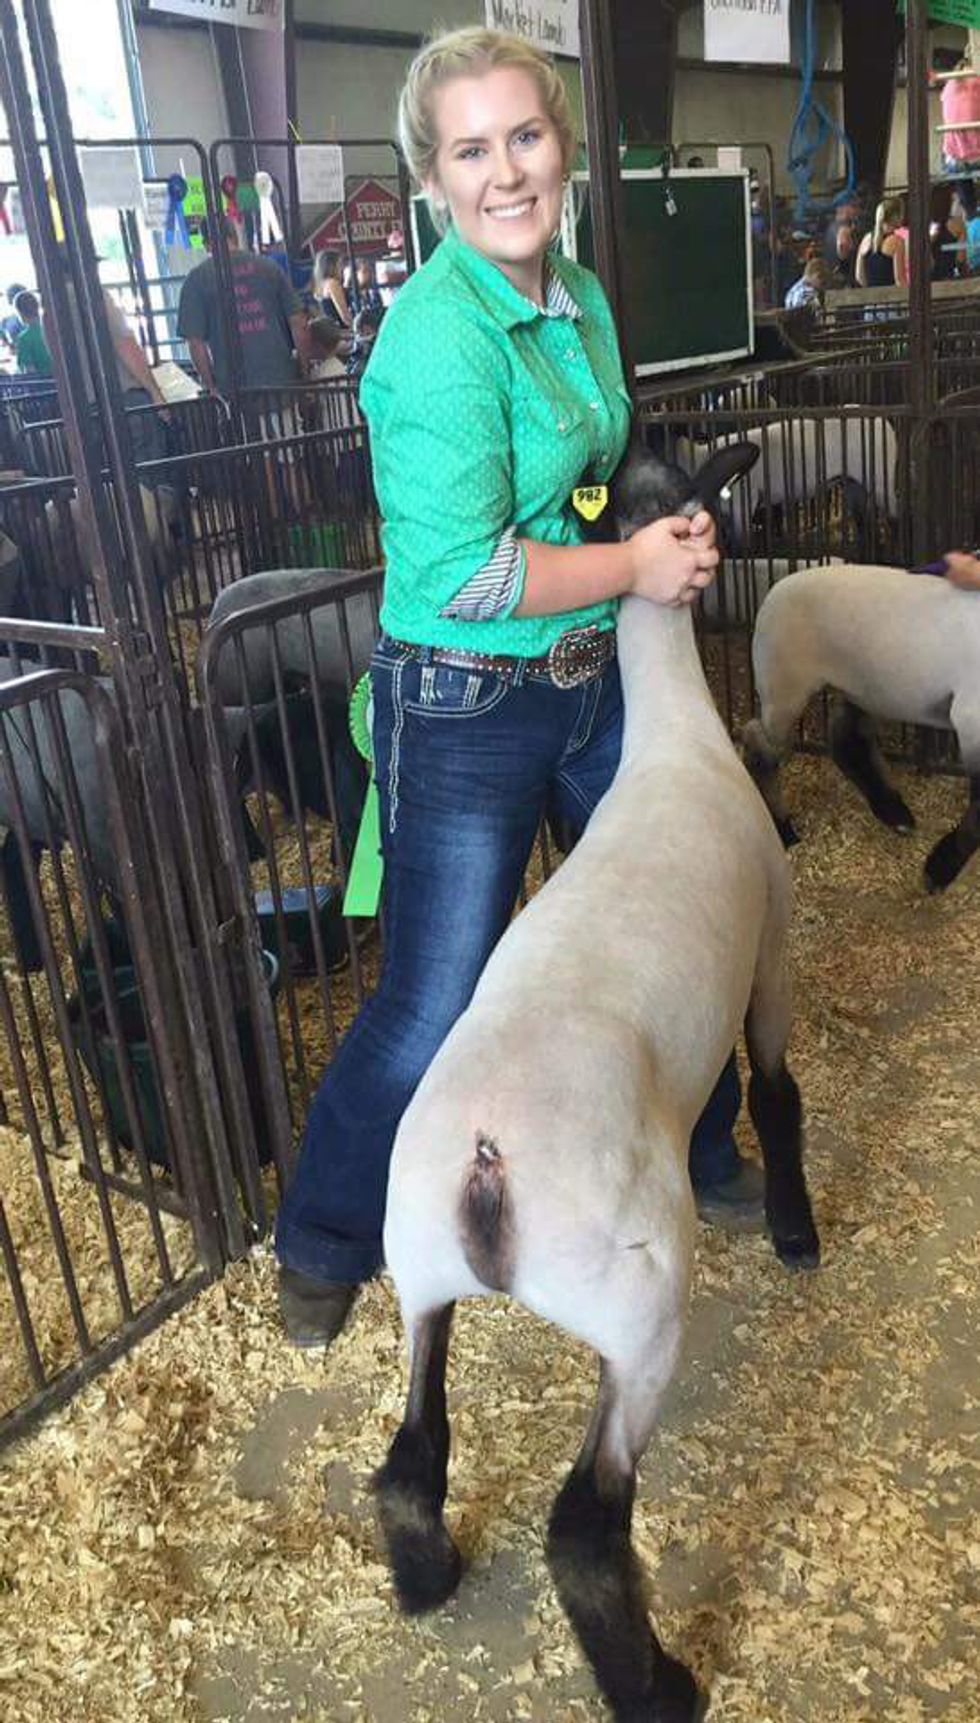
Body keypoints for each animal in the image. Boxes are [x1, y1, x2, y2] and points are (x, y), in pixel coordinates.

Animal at [373, 441, 820, 1723]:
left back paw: (423, 1579)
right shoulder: (770, 954)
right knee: (582, 1526)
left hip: (416, 1276)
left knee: (411, 1454)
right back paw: (660, 1686)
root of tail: (486, 1170)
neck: (670, 739)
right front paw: (794, 1229)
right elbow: (775, 1094)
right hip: (636, 1315)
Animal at [743, 564, 980, 893]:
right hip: (785, 683)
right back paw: (783, 829)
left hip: (864, 687)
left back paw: (894, 813)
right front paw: (939, 869)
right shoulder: (971, 715)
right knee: (759, 743)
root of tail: (775, 590)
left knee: (847, 739)